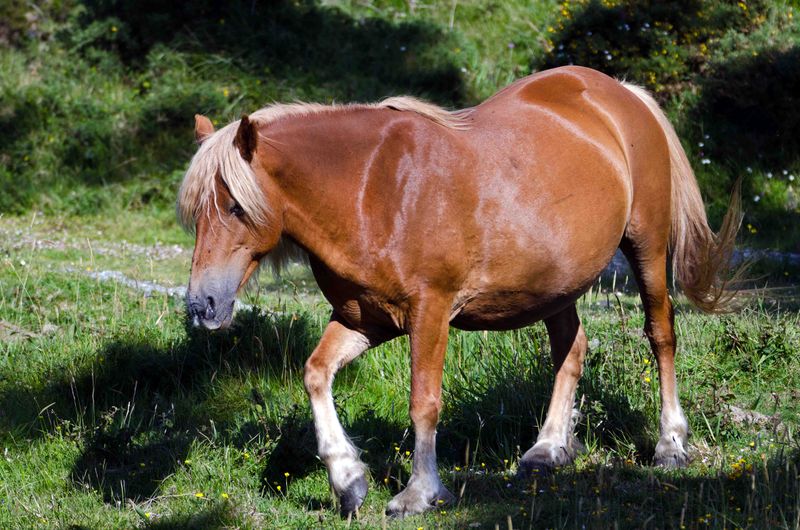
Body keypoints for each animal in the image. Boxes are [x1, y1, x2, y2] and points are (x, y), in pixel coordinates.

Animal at [178, 64, 740, 512]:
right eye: (196, 213)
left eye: (235, 206)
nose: (203, 304)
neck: (372, 189)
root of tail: (621, 94)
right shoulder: (365, 319)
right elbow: (315, 374)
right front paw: (348, 479)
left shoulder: (430, 313)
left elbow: (423, 401)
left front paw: (420, 493)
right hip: (556, 285)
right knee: (571, 349)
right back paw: (548, 449)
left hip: (647, 248)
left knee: (661, 335)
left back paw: (670, 444)